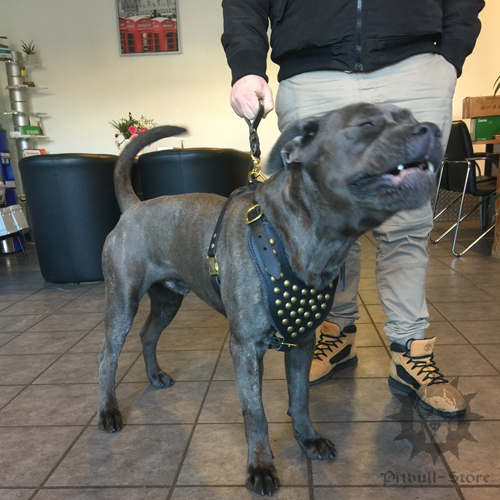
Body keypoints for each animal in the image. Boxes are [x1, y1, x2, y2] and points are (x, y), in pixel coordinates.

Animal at [98, 102, 442, 496]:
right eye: (365, 124)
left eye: (410, 117)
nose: (432, 130)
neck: (303, 239)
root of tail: (133, 207)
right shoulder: (245, 349)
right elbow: (256, 414)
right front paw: (261, 466)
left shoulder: (303, 343)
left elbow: (301, 398)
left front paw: (307, 439)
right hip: (122, 304)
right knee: (107, 357)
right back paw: (108, 411)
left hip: (169, 301)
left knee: (148, 335)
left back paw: (154, 375)